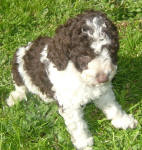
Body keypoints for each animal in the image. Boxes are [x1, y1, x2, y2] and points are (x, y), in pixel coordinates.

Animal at [6, 9, 138, 149]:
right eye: (84, 55)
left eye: (111, 50)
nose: (103, 78)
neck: (79, 75)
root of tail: (27, 47)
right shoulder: (69, 105)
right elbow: (78, 125)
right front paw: (84, 142)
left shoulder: (103, 92)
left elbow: (113, 107)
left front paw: (124, 120)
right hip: (17, 67)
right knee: (20, 86)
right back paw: (14, 98)